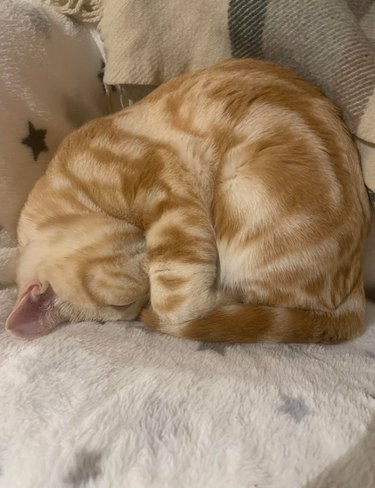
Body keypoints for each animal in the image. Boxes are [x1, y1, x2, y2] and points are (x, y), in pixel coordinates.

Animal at [4, 59, 372, 344]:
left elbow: (176, 304)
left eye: (123, 305)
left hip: (242, 191)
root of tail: (356, 283)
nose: (143, 301)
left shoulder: (164, 190)